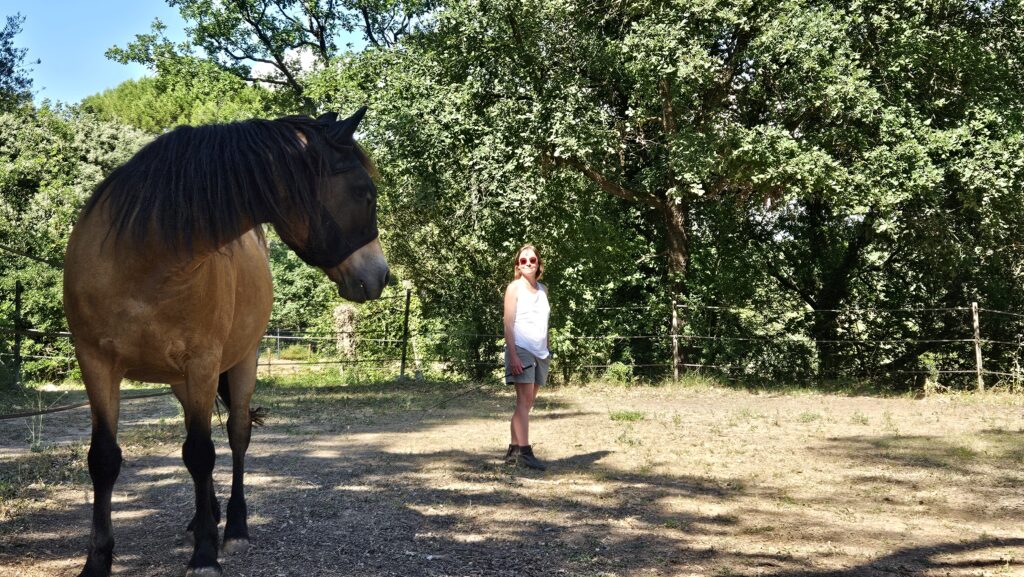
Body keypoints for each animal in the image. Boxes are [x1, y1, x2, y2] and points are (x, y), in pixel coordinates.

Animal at [63, 108, 390, 577]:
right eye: (365, 194)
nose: (381, 276)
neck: (143, 259)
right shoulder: (96, 363)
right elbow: (106, 459)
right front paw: (97, 561)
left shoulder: (202, 363)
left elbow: (203, 453)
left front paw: (205, 555)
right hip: (181, 382)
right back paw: (208, 514)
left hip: (241, 364)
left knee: (235, 436)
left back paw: (233, 525)